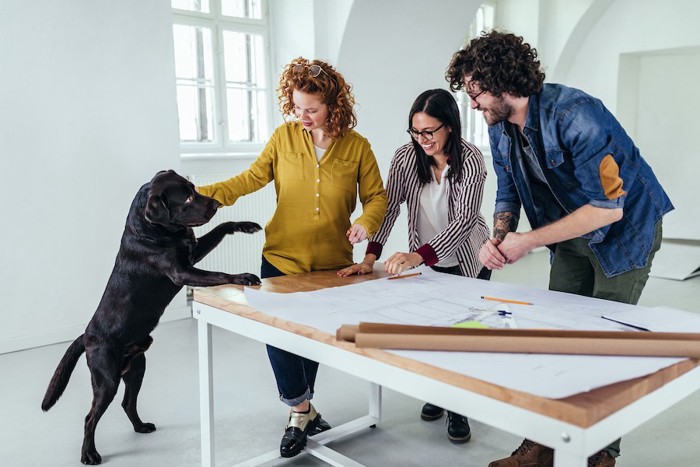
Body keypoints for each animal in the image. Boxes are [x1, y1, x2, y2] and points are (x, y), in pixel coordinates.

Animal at [43, 171, 262, 464]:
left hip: (137, 368)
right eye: (187, 198)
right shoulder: (182, 272)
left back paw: (140, 426)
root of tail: (86, 335)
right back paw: (89, 453)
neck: (152, 231)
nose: (216, 203)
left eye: (194, 188)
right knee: (90, 418)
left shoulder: (193, 253)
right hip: (106, 380)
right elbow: (218, 274)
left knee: (127, 403)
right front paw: (243, 277)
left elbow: (219, 229)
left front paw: (245, 225)